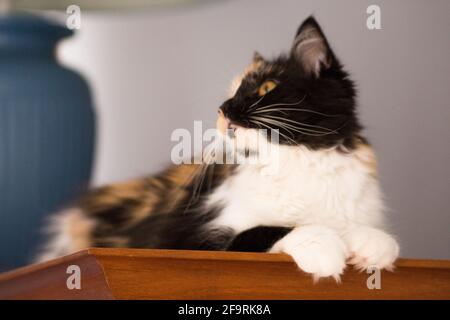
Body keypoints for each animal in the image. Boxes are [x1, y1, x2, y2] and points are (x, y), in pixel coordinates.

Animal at [37, 16, 400, 282]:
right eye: (231, 94)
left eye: (266, 88)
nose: (222, 109)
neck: (296, 160)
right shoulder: (194, 241)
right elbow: (265, 230)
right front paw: (322, 245)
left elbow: (357, 228)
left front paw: (374, 244)